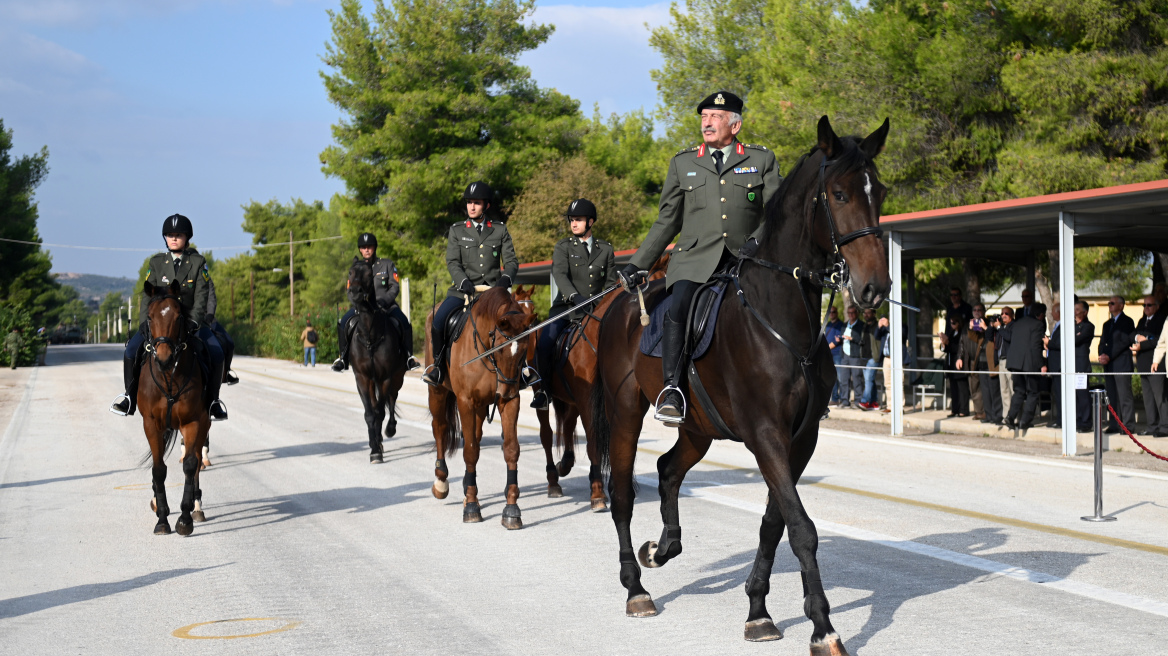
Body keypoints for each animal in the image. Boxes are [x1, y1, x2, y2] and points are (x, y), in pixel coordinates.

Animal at [141, 277, 214, 534]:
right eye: (150, 316)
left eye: (178, 316)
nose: (164, 358)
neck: (168, 377)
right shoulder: (151, 424)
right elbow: (158, 468)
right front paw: (162, 518)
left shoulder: (193, 421)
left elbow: (191, 465)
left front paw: (184, 518)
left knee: (197, 458)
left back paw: (197, 506)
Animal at [341, 257, 406, 462]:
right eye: (350, 273)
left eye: (370, 274)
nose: (355, 291)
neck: (370, 336)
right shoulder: (363, 378)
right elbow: (370, 413)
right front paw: (374, 448)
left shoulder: (385, 377)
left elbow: (380, 412)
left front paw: (378, 446)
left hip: (397, 378)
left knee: (391, 400)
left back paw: (390, 430)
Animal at [427, 284, 539, 525]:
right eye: (500, 348)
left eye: (522, 350)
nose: (506, 390)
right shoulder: (465, 402)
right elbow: (469, 451)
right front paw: (471, 507)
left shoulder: (509, 402)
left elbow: (511, 449)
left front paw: (511, 508)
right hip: (438, 392)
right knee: (440, 428)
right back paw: (441, 482)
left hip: (480, 406)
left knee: (475, 437)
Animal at [598, 114, 887, 648]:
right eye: (838, 194)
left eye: (878, 190)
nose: (875, 286)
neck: (781, 317)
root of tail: (619, 303)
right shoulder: (765, 434)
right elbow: (802, 527)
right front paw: (823, 628)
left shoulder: (801, 438)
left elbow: (775, 523)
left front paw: (758, 610)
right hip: (625, 410)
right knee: (622, 494)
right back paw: (636, 587)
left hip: (699, 428)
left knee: (668, 469)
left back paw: (662, 548)